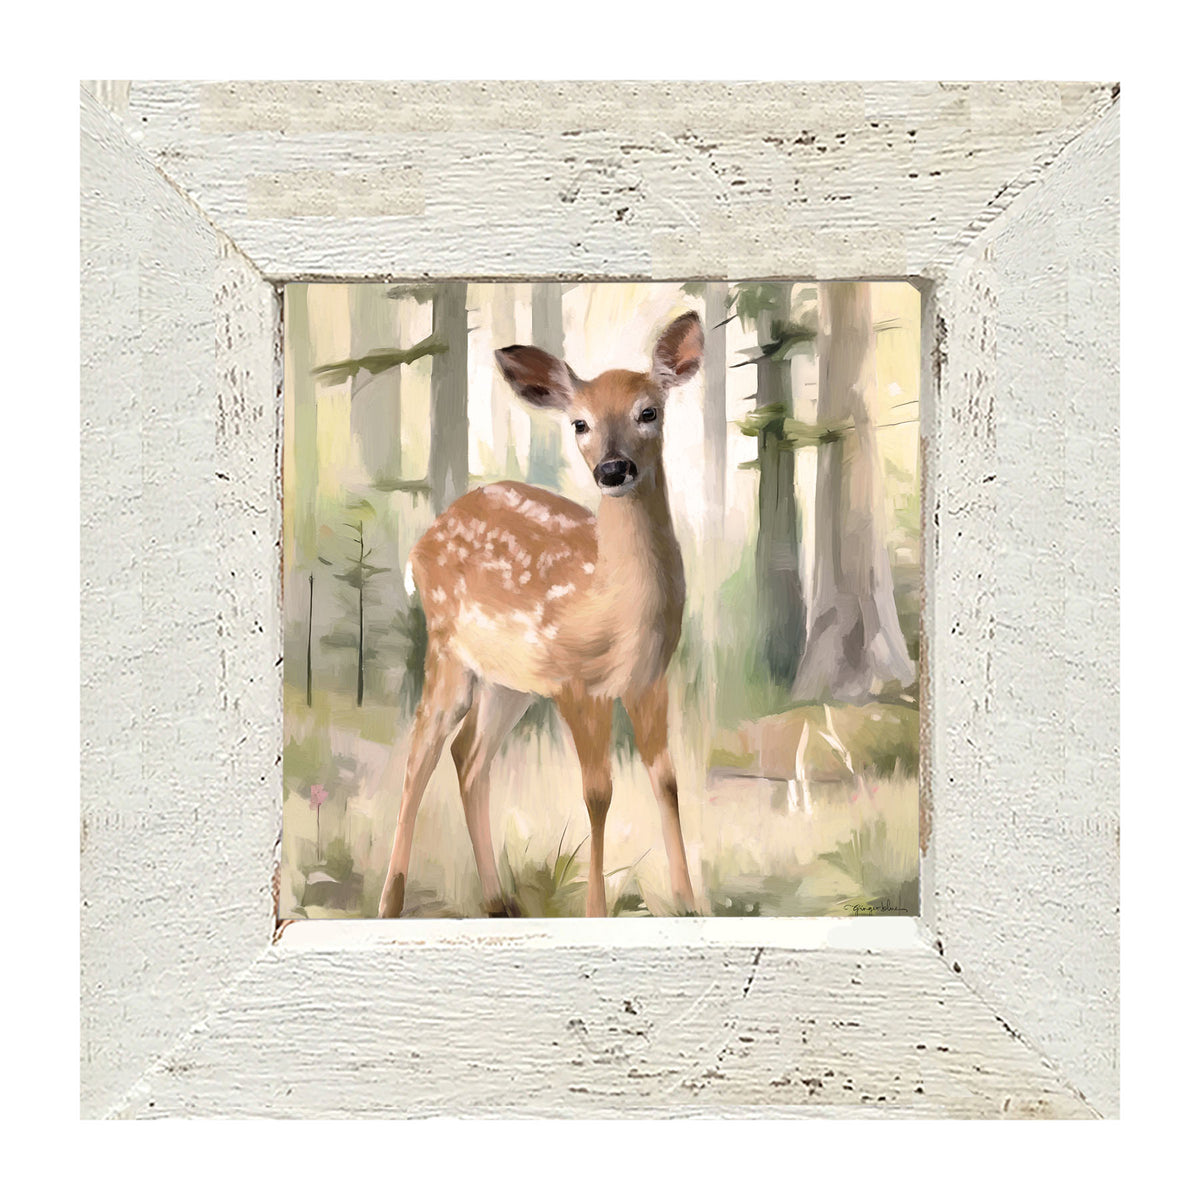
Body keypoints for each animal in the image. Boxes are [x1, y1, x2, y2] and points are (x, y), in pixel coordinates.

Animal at [377, 310, 704, 919]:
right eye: (579, 423)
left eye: (648, 411)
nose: (613, 469)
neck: (617, 605)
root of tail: (422, 542)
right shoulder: (578, 683)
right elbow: (598, 793)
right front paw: (596, 911)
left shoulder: (649, 679)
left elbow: (667, 781)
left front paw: (690, 905)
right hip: (447, 648)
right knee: (419, 754)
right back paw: (390, 902)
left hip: (511, 682)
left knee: (468, 756)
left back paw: (498, 900)